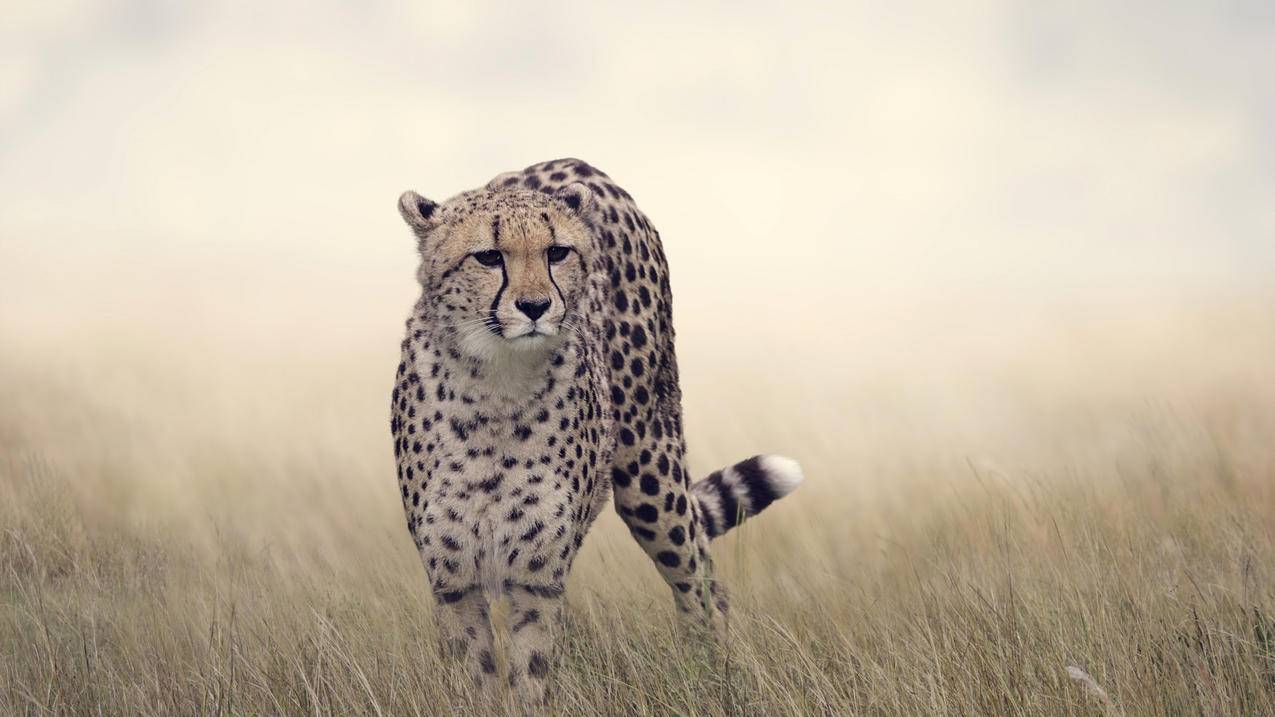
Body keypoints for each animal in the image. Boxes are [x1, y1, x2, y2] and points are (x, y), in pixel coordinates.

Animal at [392, 158, 800, 699]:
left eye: (556, 252)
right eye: (488, 256)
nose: (535, 306)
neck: (497, 385)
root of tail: (578, 165)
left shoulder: (537, 581)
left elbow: (531, 679)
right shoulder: (453, 583)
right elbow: (474, 683)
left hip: (651, 475)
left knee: (700, 579)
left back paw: (713, 679)